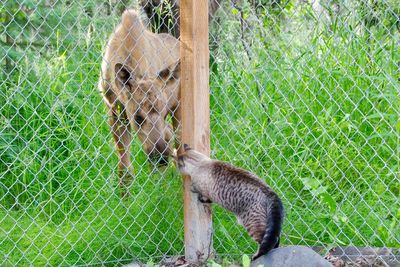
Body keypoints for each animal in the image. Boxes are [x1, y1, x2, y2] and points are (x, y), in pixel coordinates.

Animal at [99, 9, 180, 197]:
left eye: (162, 113)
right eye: (138, 118)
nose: (161, 157)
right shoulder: (114, 111)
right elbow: (124, 166)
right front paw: (125, 198)